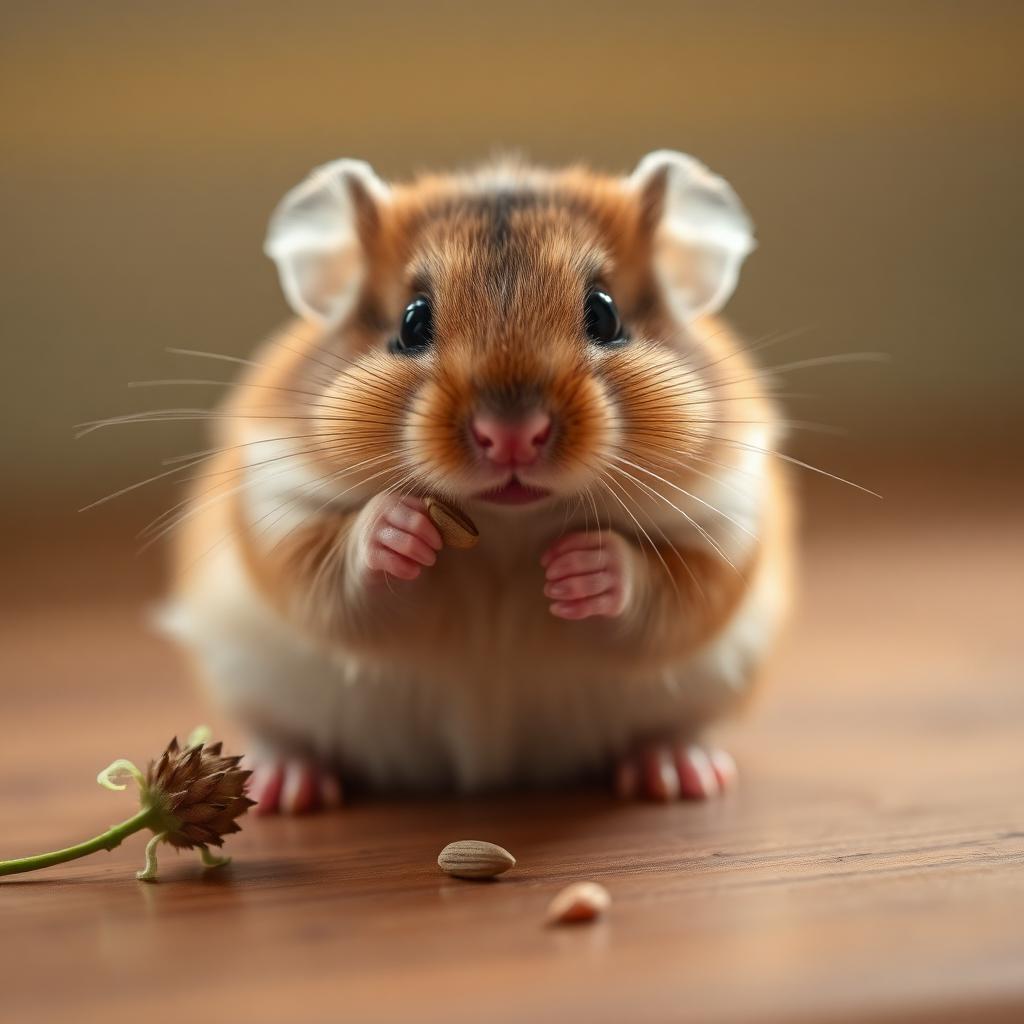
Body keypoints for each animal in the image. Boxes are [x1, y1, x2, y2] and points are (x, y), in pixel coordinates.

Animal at [161, 151, 793, 813]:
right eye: (412, 322)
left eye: (605, 313)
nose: (511, 436)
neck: (506, 523)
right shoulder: (281, 506)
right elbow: (340, 567)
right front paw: (401, 529)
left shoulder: (724, 523)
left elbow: (664, 585)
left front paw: (576, 568)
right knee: (282, 733)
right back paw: (286, 787)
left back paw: (679, 774)